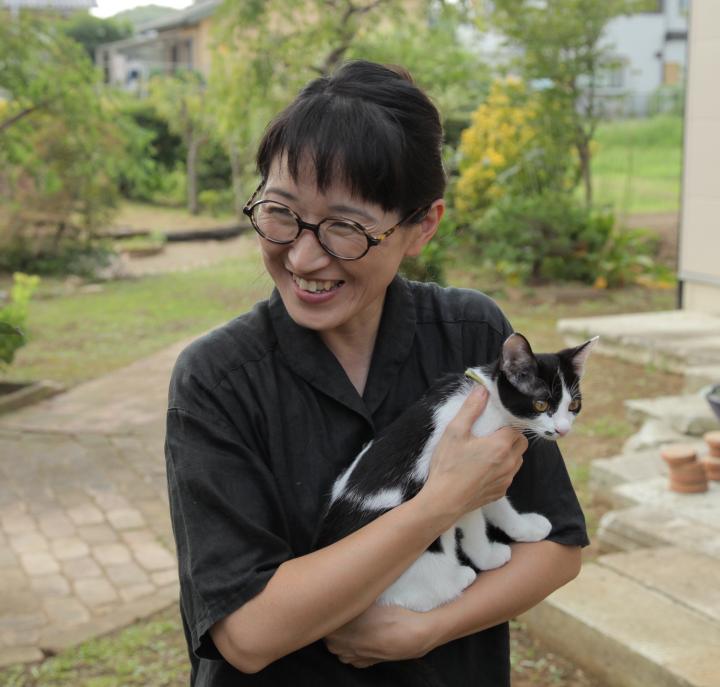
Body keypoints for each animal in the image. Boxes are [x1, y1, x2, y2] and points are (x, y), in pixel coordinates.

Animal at [316, 334, 596, 612]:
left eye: (574, 404)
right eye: (540, 404)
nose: (562, 429)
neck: (491, 402)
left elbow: (497, 506)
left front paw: (524, 529)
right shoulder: (470, 480)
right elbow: (480, 519)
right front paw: (491, 556)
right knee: (417, 597)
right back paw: (458, 578)